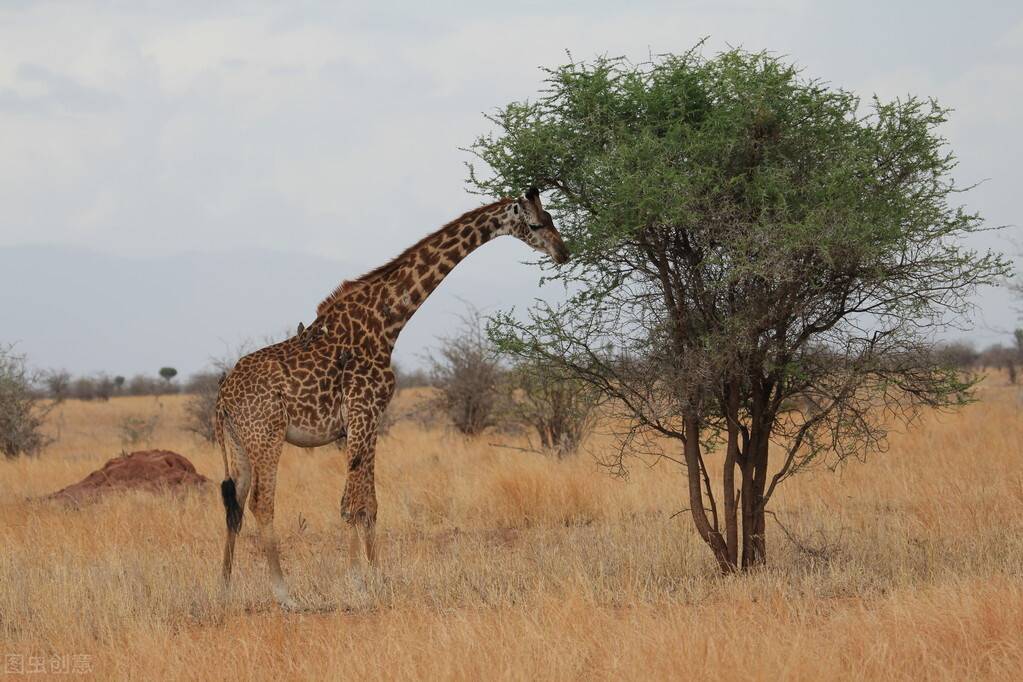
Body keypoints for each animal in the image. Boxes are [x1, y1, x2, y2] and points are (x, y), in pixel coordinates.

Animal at [215, 187, 568, 609]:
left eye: (552, 217)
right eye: (536, 223)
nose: (564, 252)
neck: (387, 322)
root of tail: (222, 399)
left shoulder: (369, 420)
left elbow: (369, 505)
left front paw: (378, 579)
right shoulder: (364, 412)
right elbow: (354, 505)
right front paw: (357, 582)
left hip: (239, 443)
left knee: (233, 505)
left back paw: (224, 589)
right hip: (266, 437)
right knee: (261, 504)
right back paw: (285, 595)